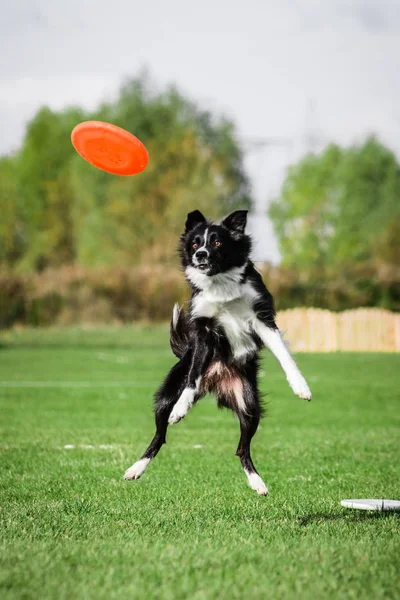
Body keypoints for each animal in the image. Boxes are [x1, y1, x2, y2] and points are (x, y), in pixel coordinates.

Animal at [123, 209, 310, 494]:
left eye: (218, 242)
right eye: (195, 243)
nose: (201, 255)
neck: (219, 282)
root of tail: (215, 380)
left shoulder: (261, 318)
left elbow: (284, 354)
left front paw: (300, 386)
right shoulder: (203, 330)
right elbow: (192, 379)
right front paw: (181, 409)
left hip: (249, 404)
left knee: (242, 449)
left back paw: (257, 483)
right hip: (166, 396)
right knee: (159, 436)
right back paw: (136, 468)